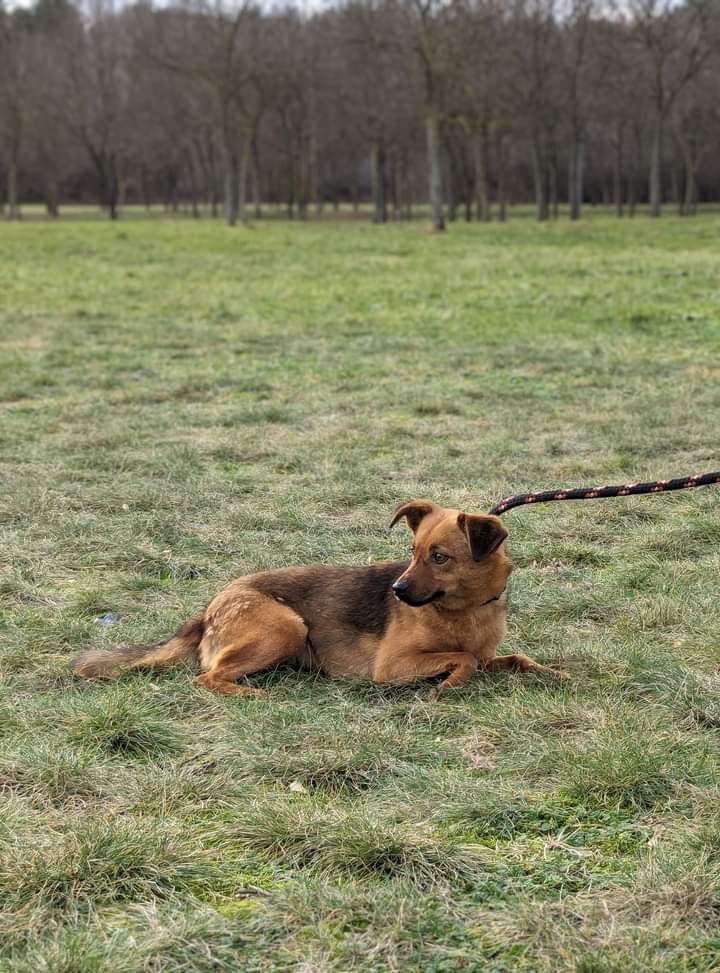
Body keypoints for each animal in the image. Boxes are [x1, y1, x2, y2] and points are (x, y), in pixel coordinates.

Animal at [70, 502, 564, 692]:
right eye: (413, 553)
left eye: (439, 557)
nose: (397, 590)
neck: (463, 611)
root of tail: (210, 605)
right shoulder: (391, 667)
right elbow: (462, 660)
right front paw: (448, 685)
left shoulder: (487, 653)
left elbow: (511, 658)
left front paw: (552, 672)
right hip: (286, 625)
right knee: (207, 678)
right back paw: (251, 694)